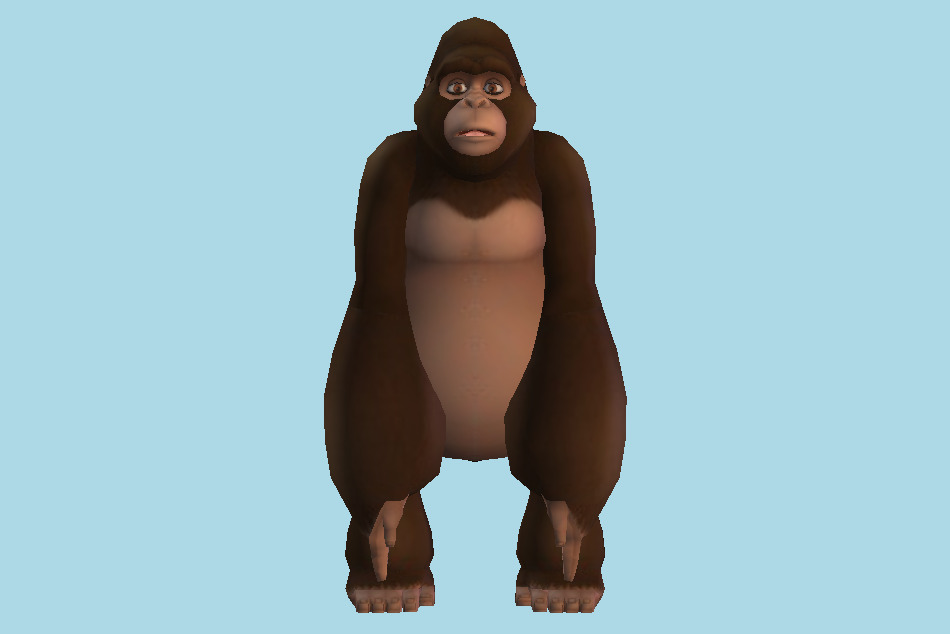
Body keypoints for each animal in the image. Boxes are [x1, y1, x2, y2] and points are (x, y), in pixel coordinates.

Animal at [324, 17, 625, 614]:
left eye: (494, 88)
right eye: (455, 88)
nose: (475, 105)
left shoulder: (566, 165)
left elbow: (576, 303)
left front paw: (567, 523)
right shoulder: (385, 164)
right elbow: (377, 306)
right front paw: (384, 518)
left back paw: (559, 578)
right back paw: (389, 579)